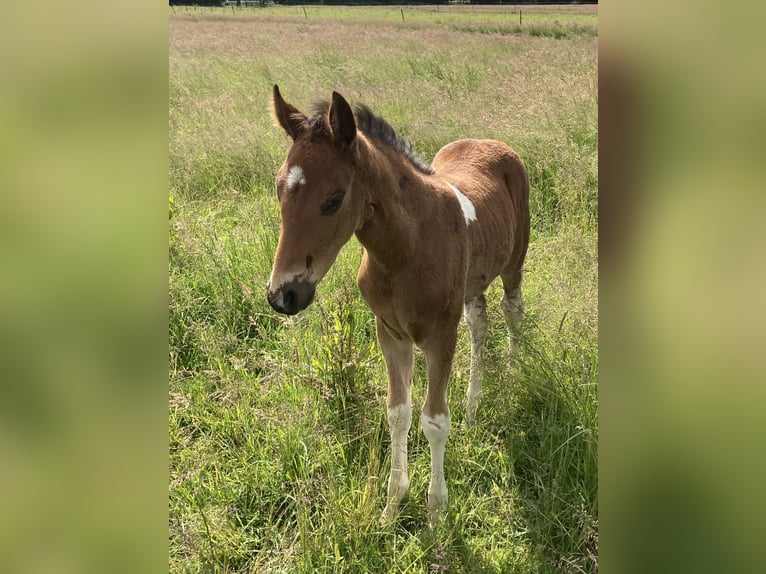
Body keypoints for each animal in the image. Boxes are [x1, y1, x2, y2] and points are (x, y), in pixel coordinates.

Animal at [266, 86, 530, 525]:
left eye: (334, 199)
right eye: (278, 188)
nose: (282, 296)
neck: (406, 249)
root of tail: (491, 142)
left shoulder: (441, 335)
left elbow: (434, 420)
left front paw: (436, 513)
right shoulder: (389, 332)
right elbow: (398, 413)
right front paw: (392, 504)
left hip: (514, 262)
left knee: (512, 311)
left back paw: (511, 373)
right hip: (473, 282)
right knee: (480, 323)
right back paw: (474, 405)